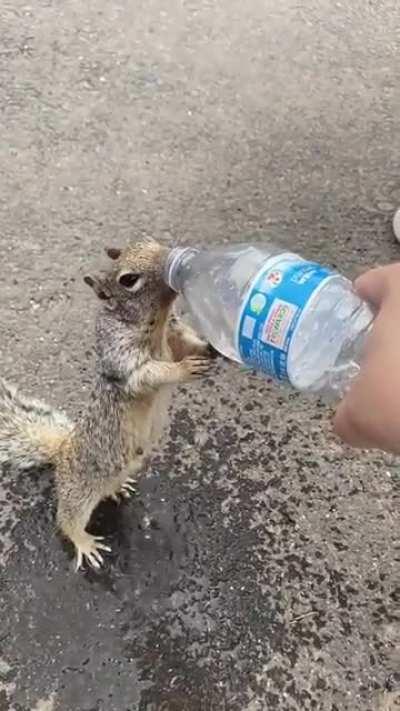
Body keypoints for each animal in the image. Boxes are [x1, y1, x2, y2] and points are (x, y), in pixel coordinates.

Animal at [0, 238, 215, 570]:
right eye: (128, 280)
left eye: (149, 241)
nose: (172, 257)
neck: (158, 324)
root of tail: (61, 453)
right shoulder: (123, 359)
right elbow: (150, 374)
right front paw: (183, 369)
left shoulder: (175, 333)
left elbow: (187, 343)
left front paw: (212, 348)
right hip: (79, 490)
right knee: (67, 519)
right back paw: (85, 543)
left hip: (121, 469)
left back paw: (117, 489)